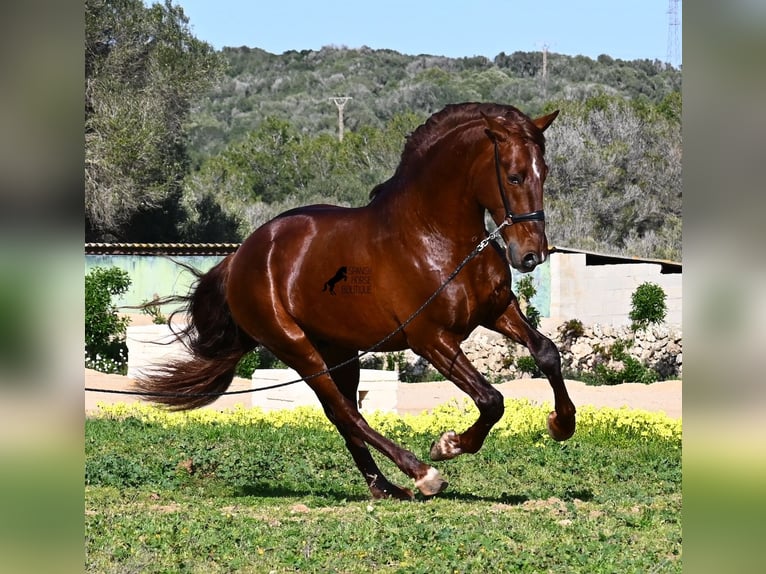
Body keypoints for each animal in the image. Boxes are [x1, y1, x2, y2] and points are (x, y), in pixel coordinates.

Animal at [136, 103, 576, 500]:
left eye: (545, 173)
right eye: (514, 176)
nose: (531, 255)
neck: (437, 237)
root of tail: (242, 255)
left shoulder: (497, 311)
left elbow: (547, 352)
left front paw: (562, 424)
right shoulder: (431, 339)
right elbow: (491, 399)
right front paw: (447, 445)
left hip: (339, 351)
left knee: (344, 416)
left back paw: (385, 488)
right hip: (299, 350)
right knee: (347, 413)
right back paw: (421, 474)